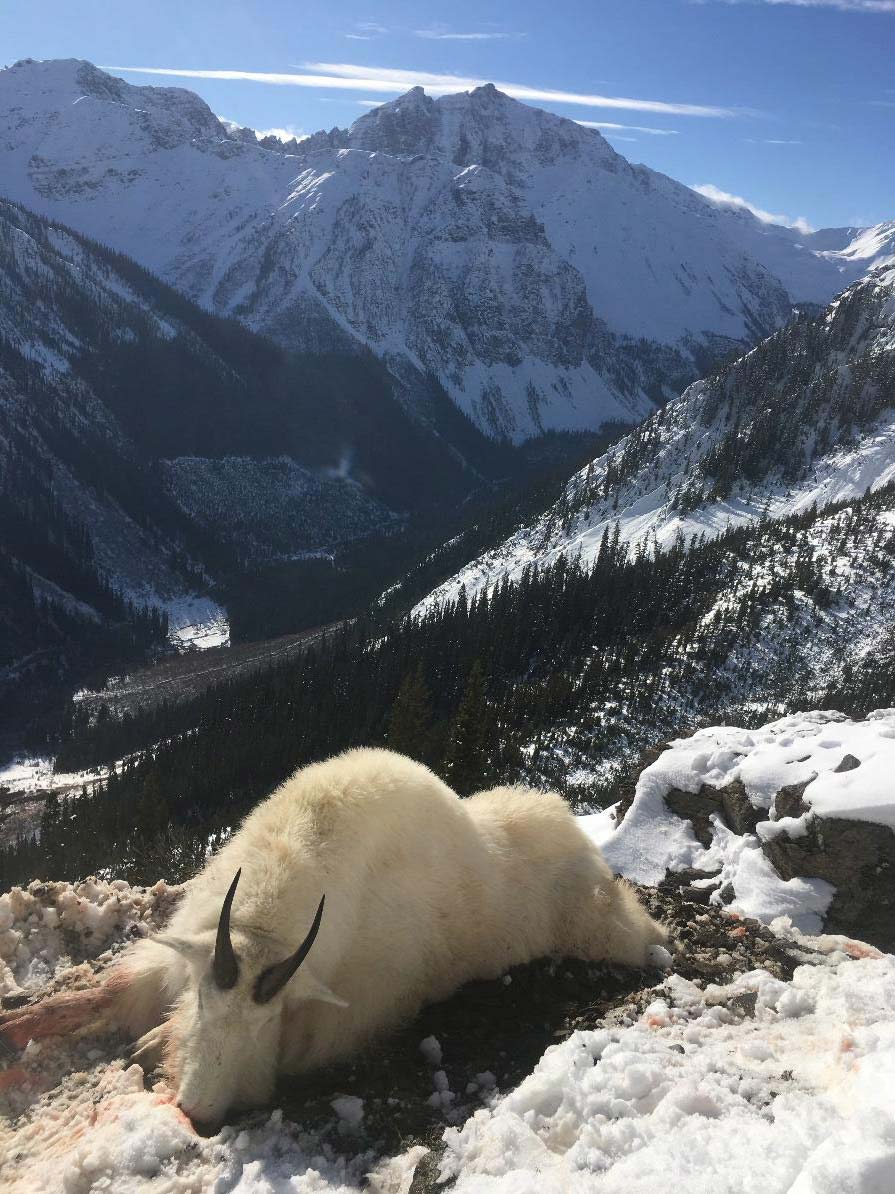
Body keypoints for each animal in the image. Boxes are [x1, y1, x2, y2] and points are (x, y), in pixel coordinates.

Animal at [1, 748, 665, 1129]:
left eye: (270, 1022)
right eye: (205, 1002)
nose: (199, 1114)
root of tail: (584, 849)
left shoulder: (345, 1015)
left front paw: (151, 1045)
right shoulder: (183, 955)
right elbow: (95, 995)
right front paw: (19, 1028)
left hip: (599, 930)